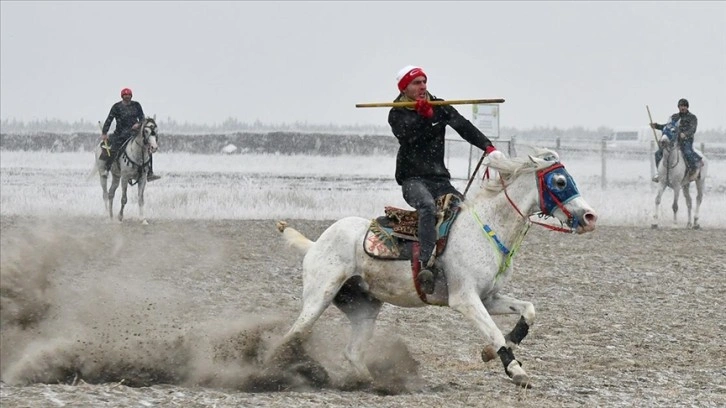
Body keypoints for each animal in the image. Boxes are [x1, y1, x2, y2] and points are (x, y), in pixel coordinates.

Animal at [270, 148, 600, 388]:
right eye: (559, 182)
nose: (589, 217)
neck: (486, 228)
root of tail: (315, 244)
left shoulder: (489, 298)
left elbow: (528, 311)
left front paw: (492, 351)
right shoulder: (465, 299)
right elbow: (493, 332)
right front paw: (516, 370)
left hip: (364, 307)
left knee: (351, 351)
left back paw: (371, 382)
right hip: (319, 297)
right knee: (291, 336)